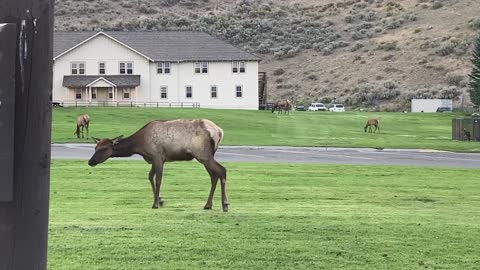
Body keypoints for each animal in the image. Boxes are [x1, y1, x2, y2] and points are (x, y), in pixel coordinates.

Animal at [88, 119, 231, 212]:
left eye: (103, 149)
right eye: (95, 147)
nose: (90, 161)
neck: (139, 146)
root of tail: (219, 132)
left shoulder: (157, 156)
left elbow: (158, 179)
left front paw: (155, 204)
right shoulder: (153, 159)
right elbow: (150, 176)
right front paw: (161, 200)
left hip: (202, 154)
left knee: (222, 171)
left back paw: (225, 204)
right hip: (206, 156)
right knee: (214, 176)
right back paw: (208, 205)